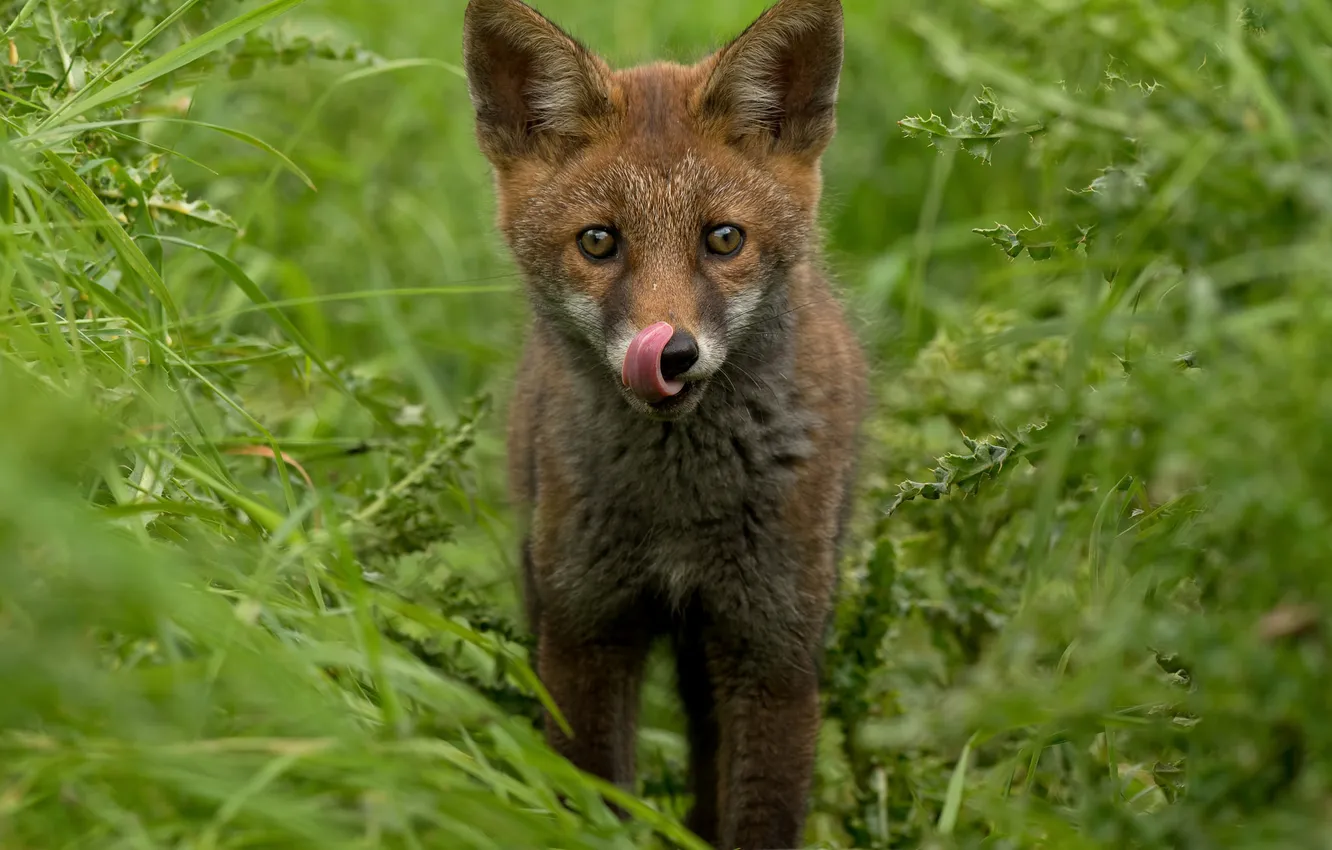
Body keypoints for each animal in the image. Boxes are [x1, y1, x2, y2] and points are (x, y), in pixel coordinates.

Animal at [461, 0, 868, 847]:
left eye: (724, 238)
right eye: (598, 241)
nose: (671, 354)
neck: (679, 510)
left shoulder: (772, 650)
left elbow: (757, 822)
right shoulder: (586, 629)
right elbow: (592, 804)